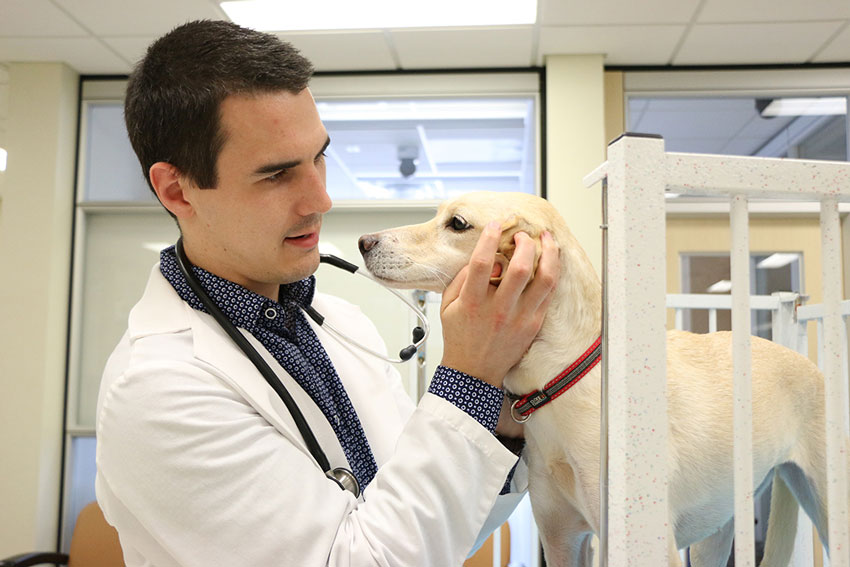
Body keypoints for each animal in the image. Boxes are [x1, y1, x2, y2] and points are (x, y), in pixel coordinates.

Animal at [356, 192, 836, 567]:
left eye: (456, 224)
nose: (363, 241)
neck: (561, 380)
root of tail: (806, 361)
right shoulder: (562, 540)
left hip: (827, 510)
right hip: (717, 531)